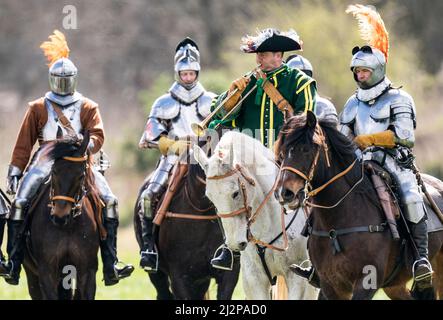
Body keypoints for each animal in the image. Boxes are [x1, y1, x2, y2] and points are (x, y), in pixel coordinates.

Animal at [22, 131, 100, 300]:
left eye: (80, 175)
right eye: (54, 171)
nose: (59, 217)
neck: (68, 227)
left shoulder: (86, 272)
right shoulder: (47, 272)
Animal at [194, 131, 320, 300]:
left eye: (235, 193)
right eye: (210, 197)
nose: (234, 244)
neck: (267, 227)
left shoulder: (298, 278)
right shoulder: (254, 280)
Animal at [278, 111, 443, 298]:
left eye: (306, 149)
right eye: (283, 152)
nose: (285, 193)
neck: (336, 223)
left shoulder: (366, 282)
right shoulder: (330, 286)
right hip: (394, 286)